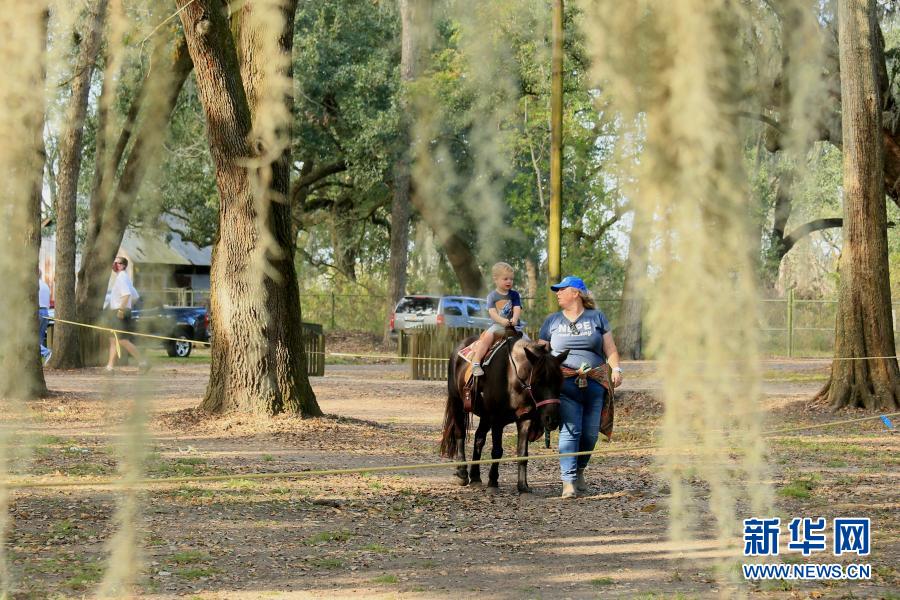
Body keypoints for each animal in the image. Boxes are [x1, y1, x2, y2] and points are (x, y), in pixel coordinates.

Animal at [438, 330, 568, 494]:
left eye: (560, 382)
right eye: (538, 381)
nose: (552, 419)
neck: (512, 376)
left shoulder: (524, 419)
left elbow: (522, 453)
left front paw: (523, 485)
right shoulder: (497, 420)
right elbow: (497, 451)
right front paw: (493, 482)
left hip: (485, 416)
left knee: (479, 439)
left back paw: (475, 477)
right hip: (457, 404)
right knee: (460, 434)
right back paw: (462, 473)